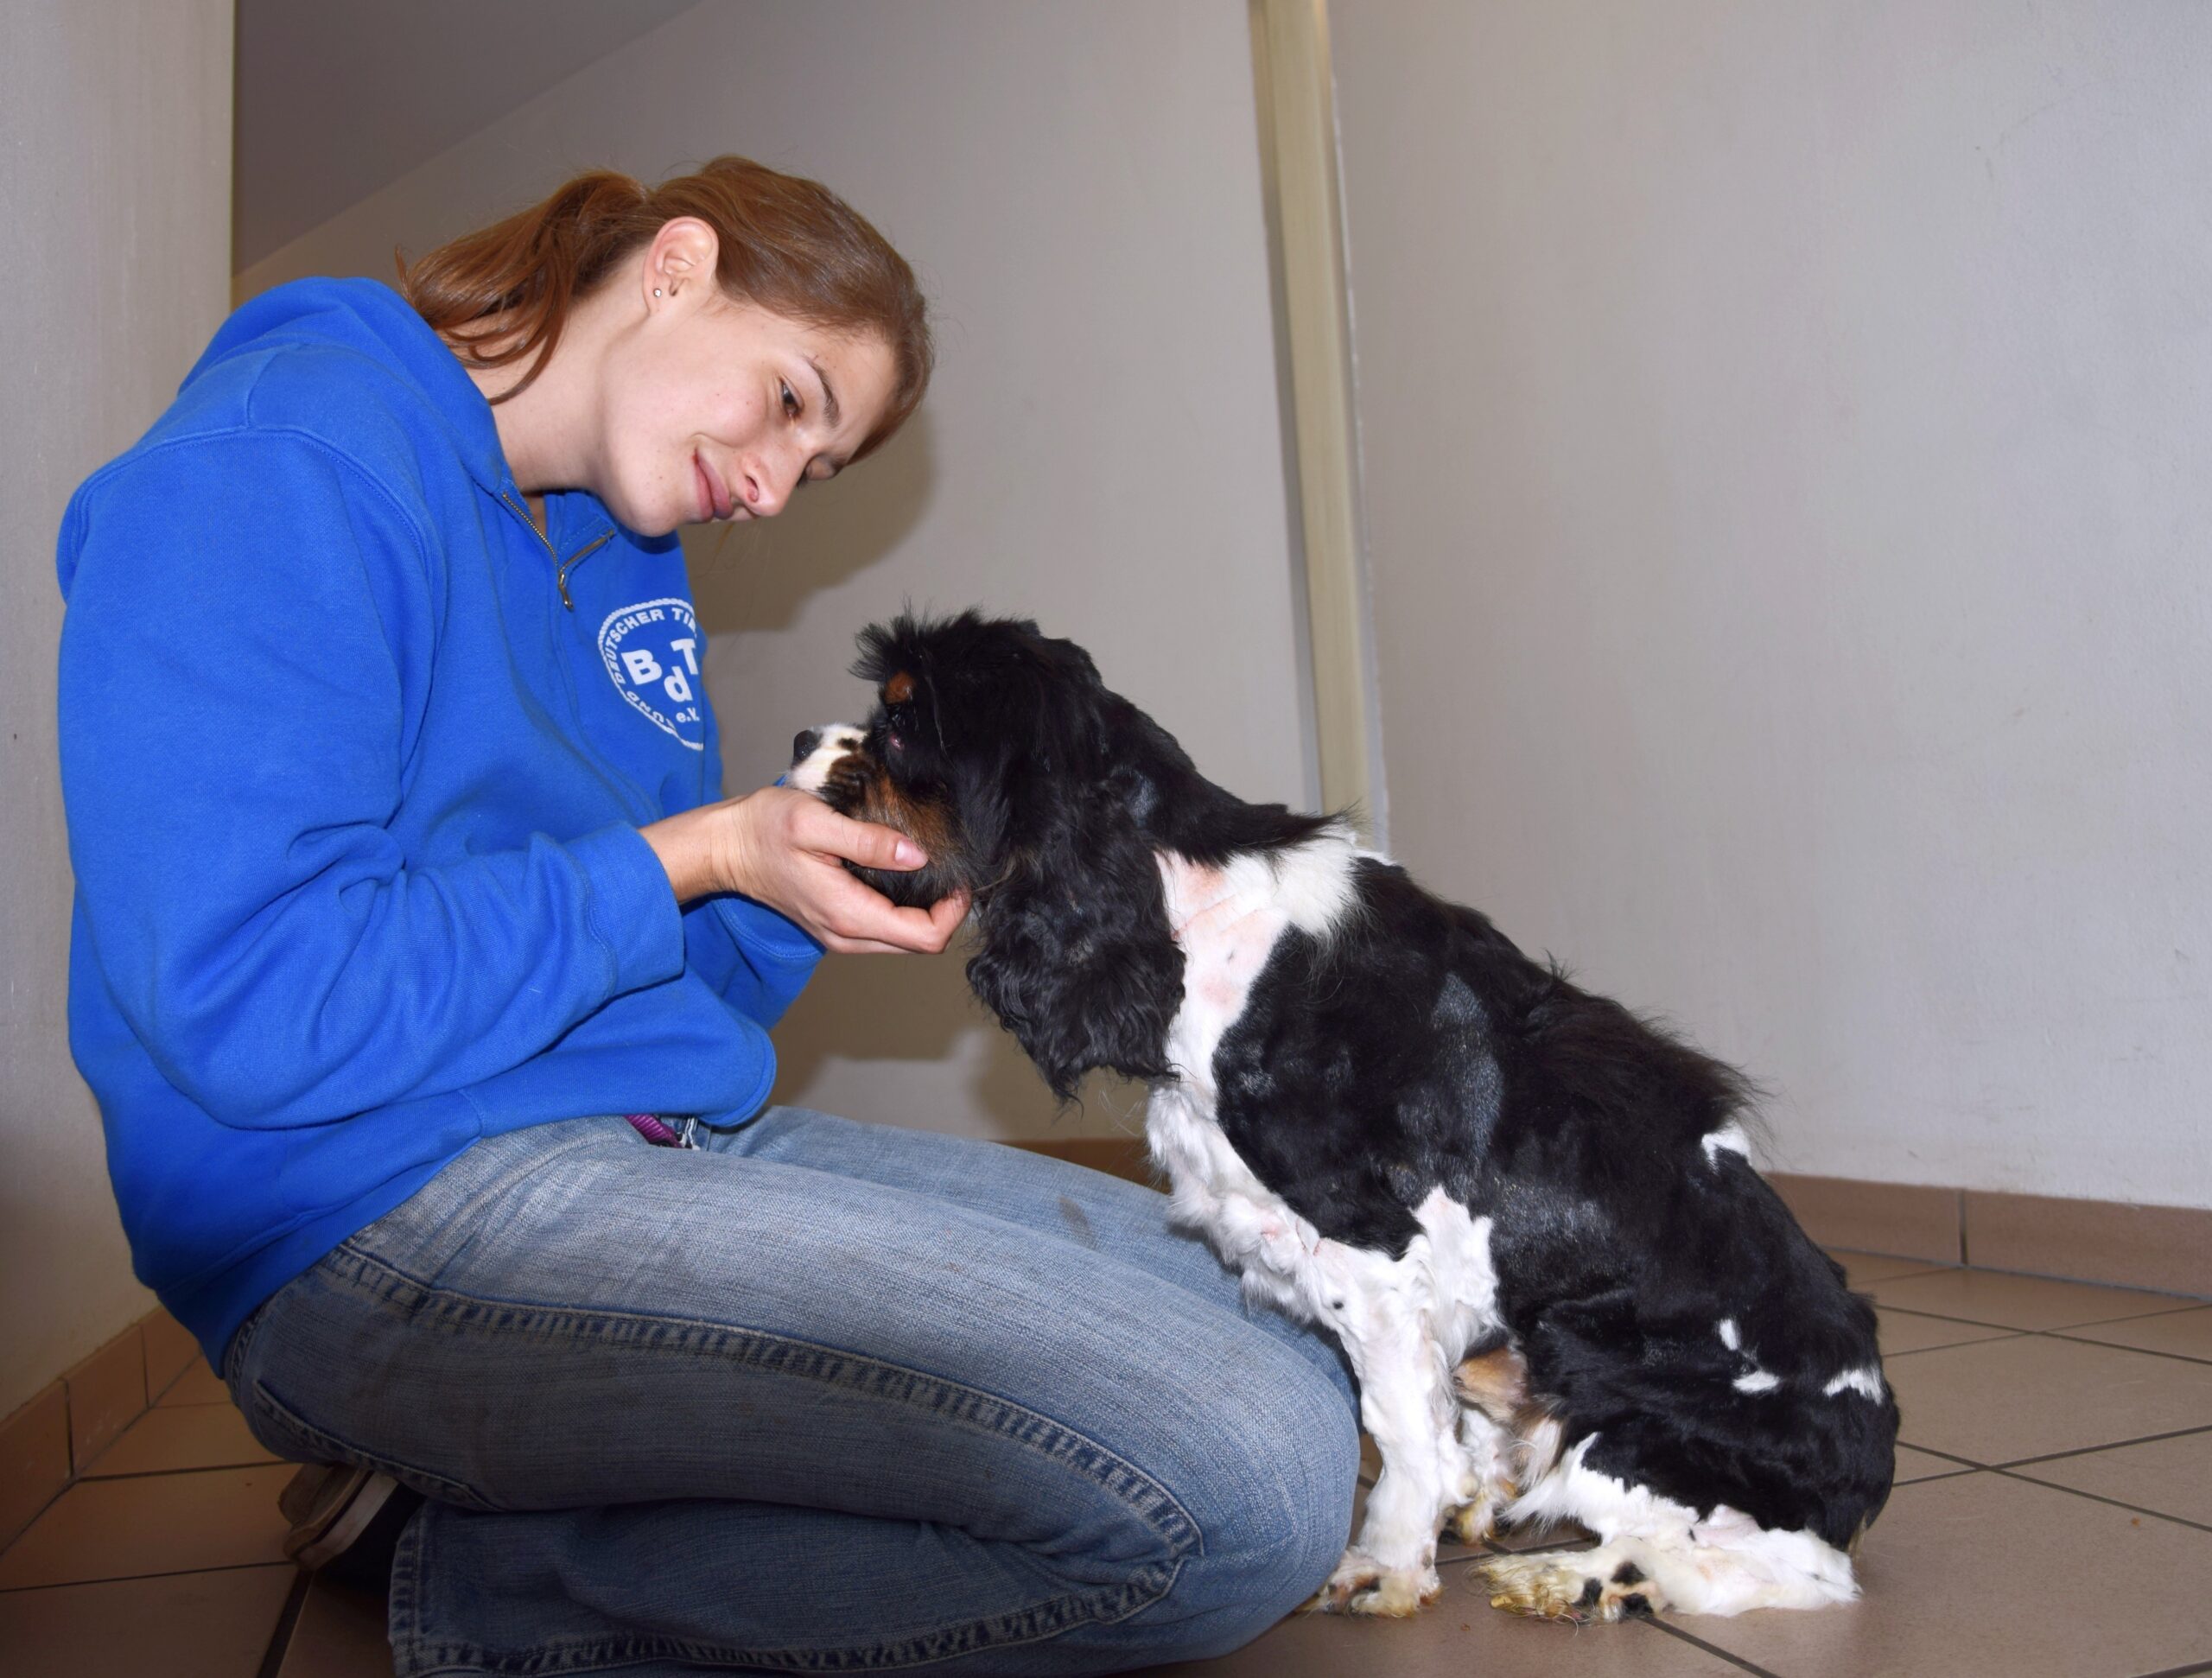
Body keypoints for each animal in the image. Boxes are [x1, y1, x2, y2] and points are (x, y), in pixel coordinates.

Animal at [787, 610, 1893, 1618]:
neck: (1172, 898)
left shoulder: (1369, 1249)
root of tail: (1868, 1469)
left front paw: (1385, 1566)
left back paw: (1567, 1576)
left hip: (1617, 1411)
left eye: (899, 730)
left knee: (1780, 1570)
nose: (798, 738)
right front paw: (1449, 1512)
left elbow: (1400, 1432)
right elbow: (1435, 1427)